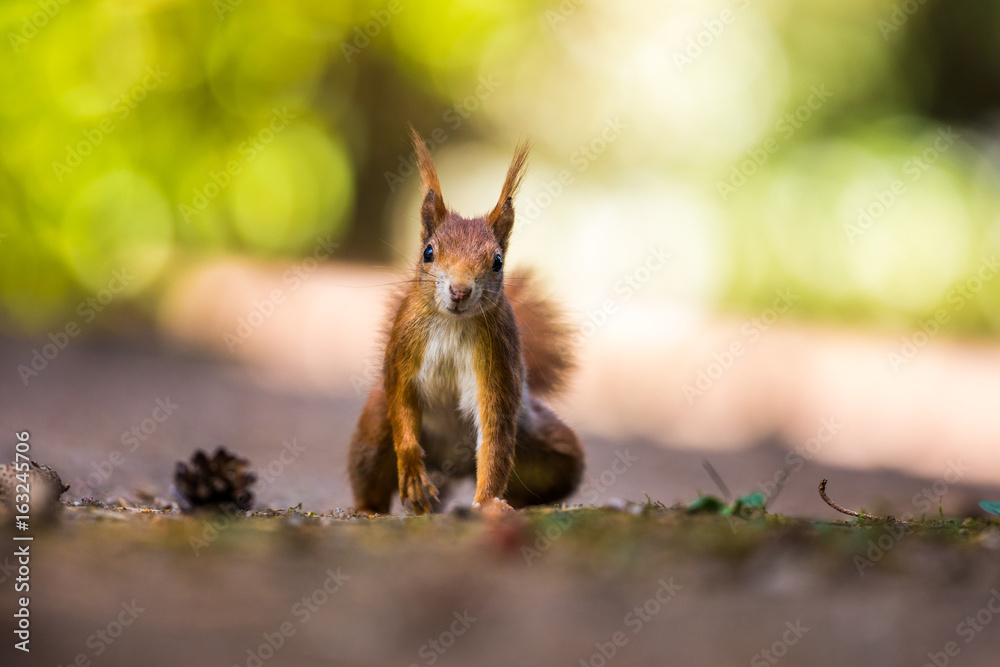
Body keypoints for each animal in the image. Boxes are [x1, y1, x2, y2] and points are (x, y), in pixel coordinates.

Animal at [348, 127, 584, 514]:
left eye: (498, 262)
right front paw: (413, 475)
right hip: (374, 430)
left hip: (548, 447)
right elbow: (402, 404)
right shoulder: (403, 348)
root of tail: (452, 466)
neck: (451, 323)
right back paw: (368, 508)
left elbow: (495, 437)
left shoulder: (498, 361)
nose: (459, 291)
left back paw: (519, 502)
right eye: (428, 252)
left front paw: (488, 503)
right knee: (370, 467)